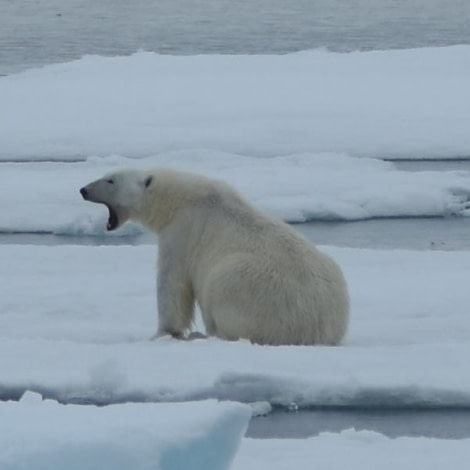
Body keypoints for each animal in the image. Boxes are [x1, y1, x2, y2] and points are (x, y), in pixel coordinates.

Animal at [80, 169, 348, 346]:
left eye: (110, 179)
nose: (83, 189)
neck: (178, 198)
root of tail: (314, 327)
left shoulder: (182, 231)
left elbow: (173, 286)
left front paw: (161, 334)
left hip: (247, 283)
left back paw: (206, 334)